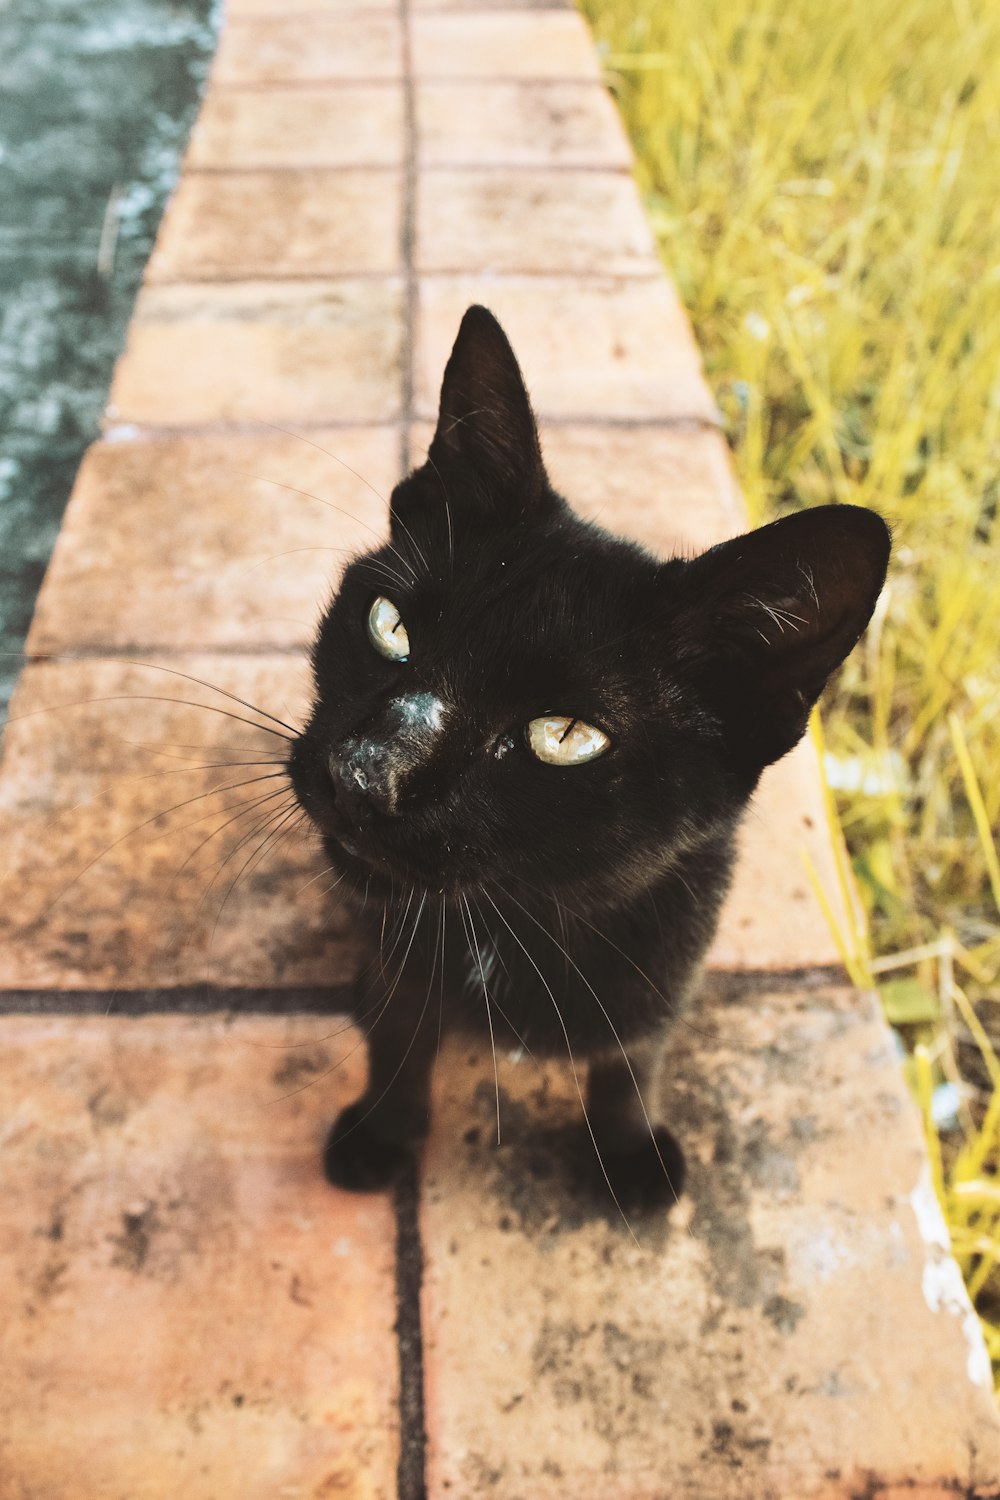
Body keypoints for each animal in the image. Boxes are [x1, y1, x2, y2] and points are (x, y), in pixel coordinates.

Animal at [284, 301, 887, 1206]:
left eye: (563, 737)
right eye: (388, 626)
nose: (366, 775)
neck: (519, 924)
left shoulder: (666, 972)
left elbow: (632, 1060)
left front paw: (629, 1150)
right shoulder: (402, 962)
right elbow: (399, 1036)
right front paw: (382, 1130)